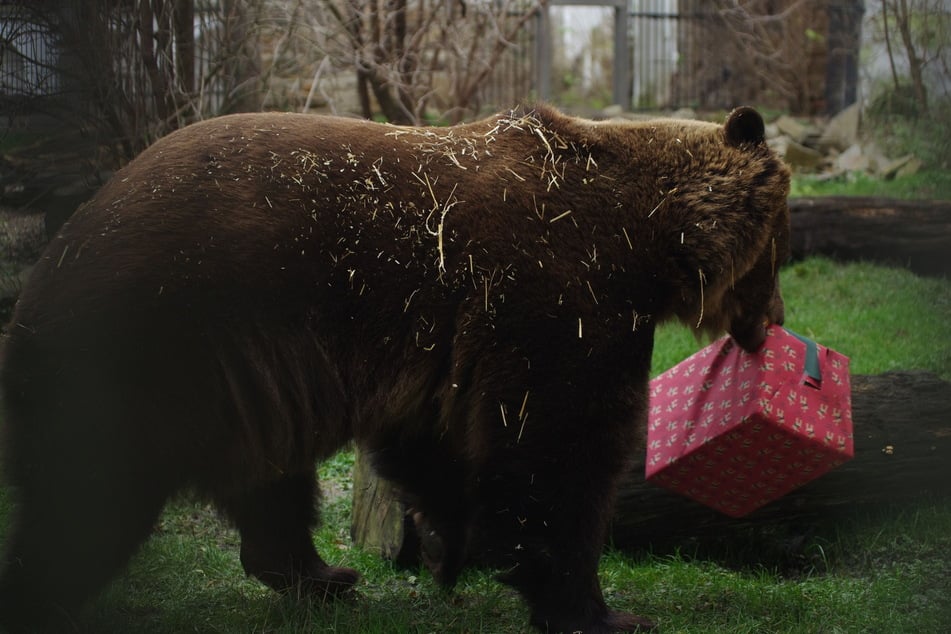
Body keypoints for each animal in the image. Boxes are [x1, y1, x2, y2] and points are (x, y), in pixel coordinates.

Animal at [0, 102, 788, 628]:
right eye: (777, 249)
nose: (774, 320)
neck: (648, 236)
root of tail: (44, 273)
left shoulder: (447, 343)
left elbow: (437, 443)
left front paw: (446, 546)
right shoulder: (557, 293)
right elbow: (557, 450)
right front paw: (598, 610)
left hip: (236, 375)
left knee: (269, 481)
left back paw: (321, 573)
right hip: (146, 348)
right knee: (88, 503)